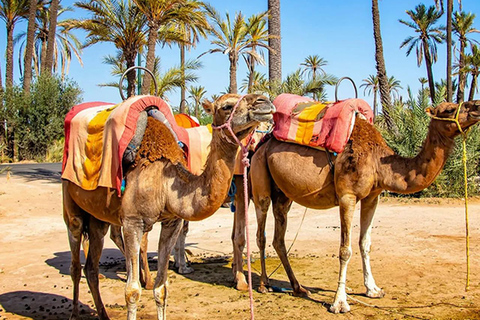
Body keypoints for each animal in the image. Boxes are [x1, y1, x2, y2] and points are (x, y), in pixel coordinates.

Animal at [63, 92, 274, 320]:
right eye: (227, 106)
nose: (264, 101)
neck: (164, 183)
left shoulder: (171, 222)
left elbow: (161, 289)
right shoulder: (132, 222)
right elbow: (132, 292)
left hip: (97, 218)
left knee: (91, 266)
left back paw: (104, 312)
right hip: (72, 205)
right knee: (76, 260)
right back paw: (74, 314)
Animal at [249, 99, 480, 312]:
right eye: (449, 109)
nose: (477, 105)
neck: (378, 161)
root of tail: (261, 143)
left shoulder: (372, 197)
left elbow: (365, 243)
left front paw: (373, 289)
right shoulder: (347, 196)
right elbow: (345, 249)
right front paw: (339, 303)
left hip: (283, 195)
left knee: (279, 238)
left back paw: (298, 288)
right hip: (260, 180)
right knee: (261, 232)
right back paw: (264, 285)